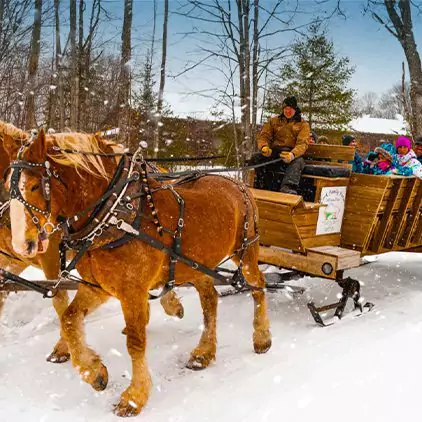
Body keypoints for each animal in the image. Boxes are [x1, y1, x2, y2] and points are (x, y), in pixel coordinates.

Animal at [3, 130, 272, 418]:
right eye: (7, 185)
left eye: (34, 186)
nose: (22, 245)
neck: (114, 215)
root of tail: (239, 184)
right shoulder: (98, 286)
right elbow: (69, 319)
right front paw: (94, 372)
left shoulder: (132, 291)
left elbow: (135, 342)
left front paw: (134, 397)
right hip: (195, 265)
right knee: (210, 299)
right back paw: (203, 352)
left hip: (246, 252)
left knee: (258, 287)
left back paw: (262, 337)